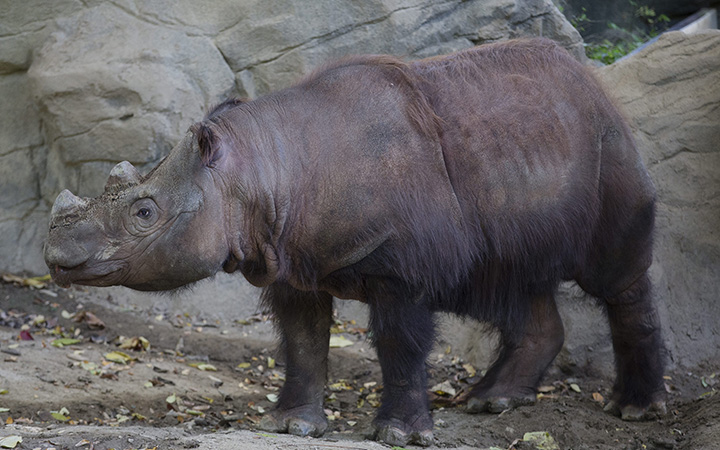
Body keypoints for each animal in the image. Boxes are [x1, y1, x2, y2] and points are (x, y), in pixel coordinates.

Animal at [44, 39, 665, 446]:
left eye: (145, 212)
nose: (57, 257)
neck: (262, 170)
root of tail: (594, 82)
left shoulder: (401, 267)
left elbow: (398, 341)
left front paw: (398, 434)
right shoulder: (288, 260)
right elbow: (302, 339)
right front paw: (290, 425)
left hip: (606, 143)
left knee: (614, 277)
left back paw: (634, 410)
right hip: (525, 149)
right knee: (510, 277)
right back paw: (490, 403)